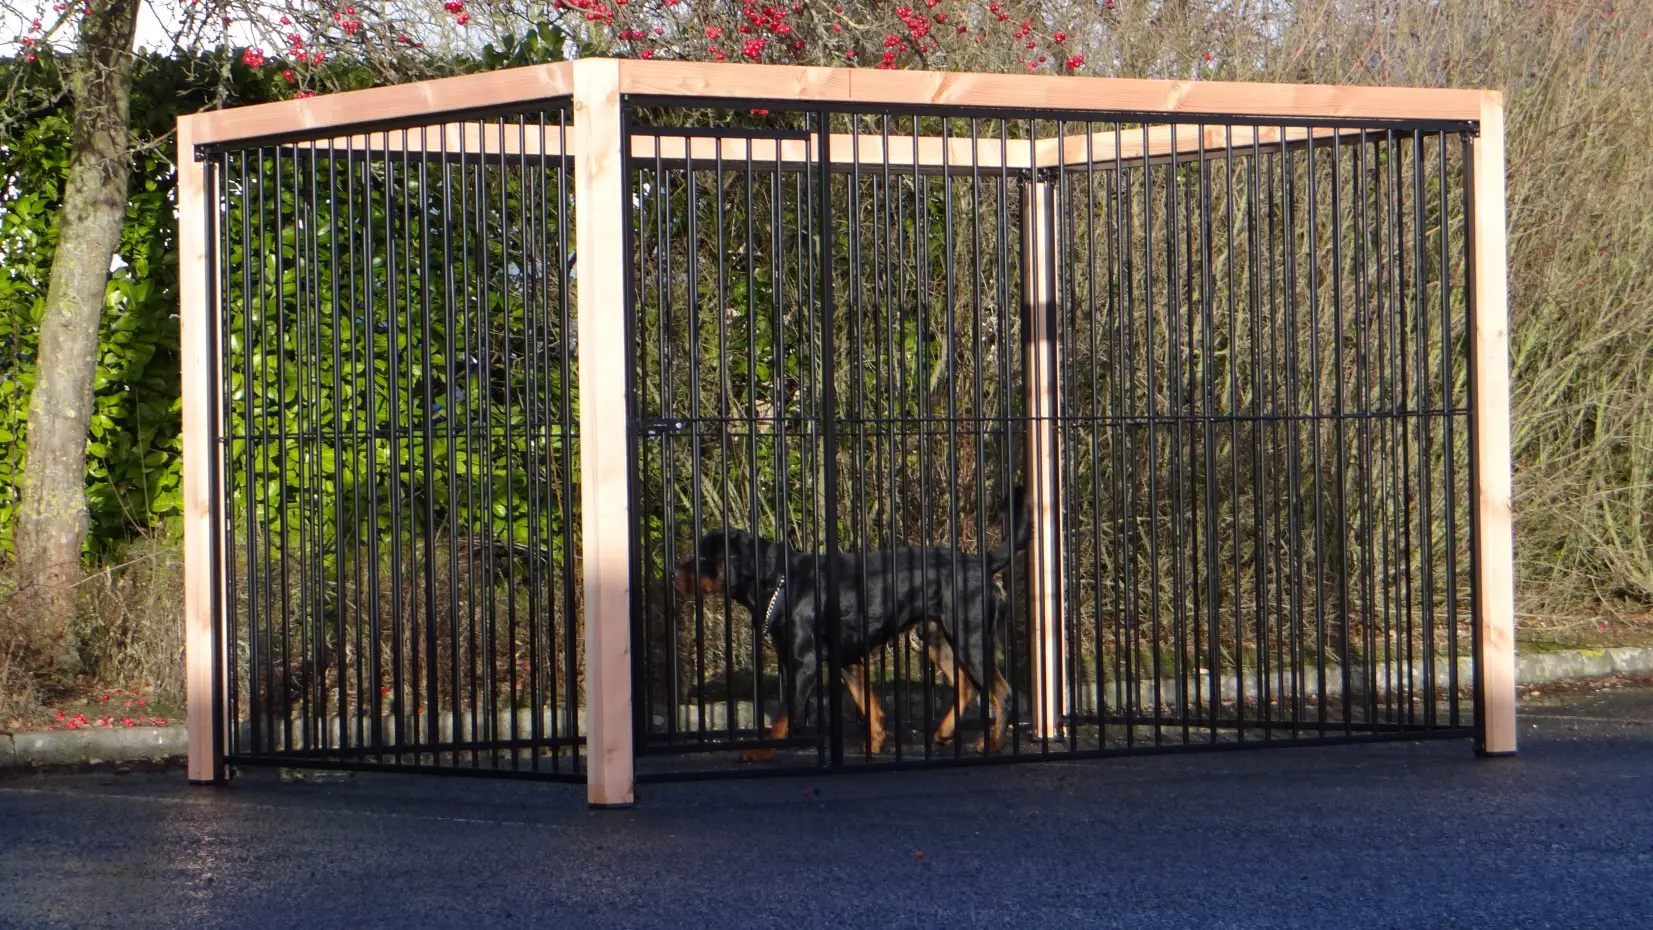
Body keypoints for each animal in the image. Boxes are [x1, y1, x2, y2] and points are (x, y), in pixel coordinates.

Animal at [672, 486, 1030, 762]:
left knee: (1002, 693)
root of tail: (981, 561)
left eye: (704, 558)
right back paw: (944, 733)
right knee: (966, 686)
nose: (674, 573)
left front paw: (761, 751)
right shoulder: (848, 659)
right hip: (937, 638)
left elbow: (783, 715)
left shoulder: (804, 664)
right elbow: (868, 704)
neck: (778, 581)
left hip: (970, 639)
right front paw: (875, 742)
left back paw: (993, 743)